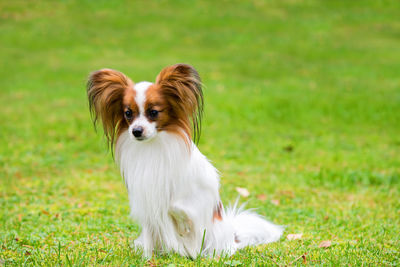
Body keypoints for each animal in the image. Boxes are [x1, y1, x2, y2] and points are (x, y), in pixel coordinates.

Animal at [86, 63, 282, 258]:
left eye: (153, 112)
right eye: (128, 113)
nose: (136, 131)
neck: (154, 146)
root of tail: (233, 237)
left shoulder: (201, 191)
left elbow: (175, 206)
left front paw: (182, 227)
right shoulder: (145, 199)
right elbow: (151, 229)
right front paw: (147, 259)